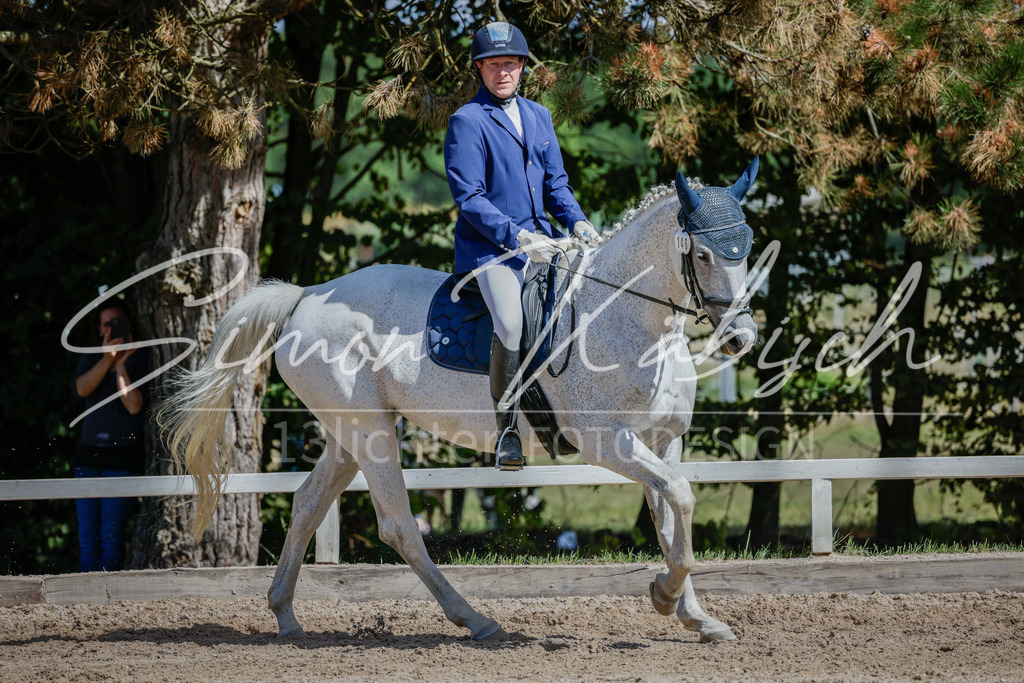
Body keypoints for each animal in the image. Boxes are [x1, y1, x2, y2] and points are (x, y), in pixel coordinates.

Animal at [159, 158, 762, 643]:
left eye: (749, 248)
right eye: (702, 254)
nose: (741, 339)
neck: (628, 319)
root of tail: (307, 296)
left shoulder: (664, 441)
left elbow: (672, 516)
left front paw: (695, 616)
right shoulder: (607, 442)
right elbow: (680, 498)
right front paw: (665, 594)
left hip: (347, 432)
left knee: (308, 503)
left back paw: (285, 616)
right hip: (371, 432)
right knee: (398, 525)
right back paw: (475, 620)